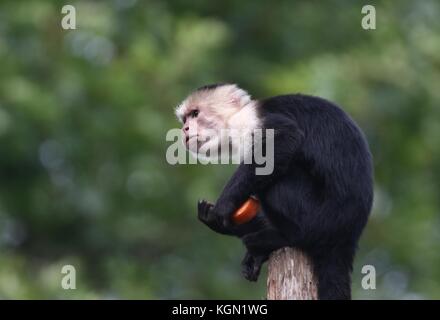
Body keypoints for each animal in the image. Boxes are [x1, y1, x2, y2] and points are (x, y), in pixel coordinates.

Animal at [174, 83, 372, 300]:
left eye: (195, 114)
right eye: (185, 119)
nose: (185, 129)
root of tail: (349, 236)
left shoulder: (249, 121)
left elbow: (284, 138)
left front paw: (223, 207)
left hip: (323, 217)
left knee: (278, 181)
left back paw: (288, 236)